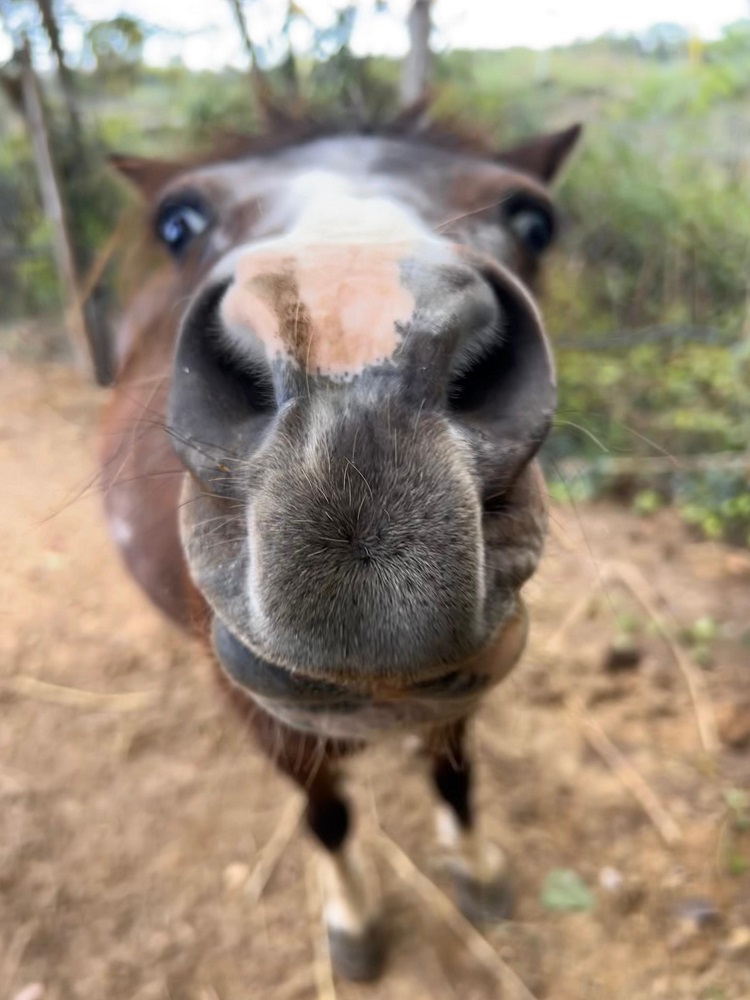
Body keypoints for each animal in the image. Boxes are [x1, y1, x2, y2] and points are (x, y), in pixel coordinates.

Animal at [100, 108, 581, 982]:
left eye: (534, 220)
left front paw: (478, 872)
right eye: (177, 223)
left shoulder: (460, 686)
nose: (359, 394)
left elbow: (456, 775)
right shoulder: (257, 708)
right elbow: (325, 814)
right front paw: (353, 922)